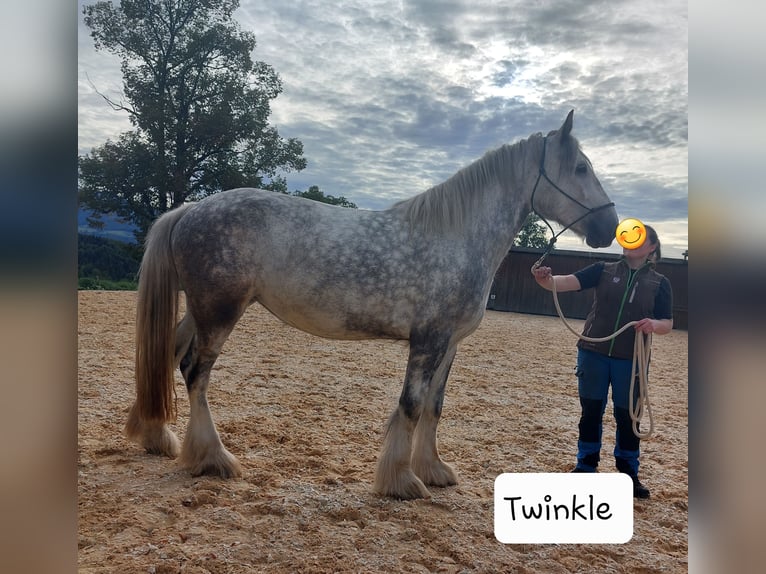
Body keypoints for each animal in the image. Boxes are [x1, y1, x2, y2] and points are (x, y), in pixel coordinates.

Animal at [125, 110, 618, 499]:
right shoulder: (428, 341)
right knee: (194, 372)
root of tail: (190, 210)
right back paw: (213, 458)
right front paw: (401, 481)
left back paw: (157, 436)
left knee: (166, 354)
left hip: (200, 310)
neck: (456, 237)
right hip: (219, 312)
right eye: (579, 168)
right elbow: (411, 405)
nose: (610, 226)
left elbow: (435, 407)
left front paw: (433, 470)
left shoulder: (450, 345)